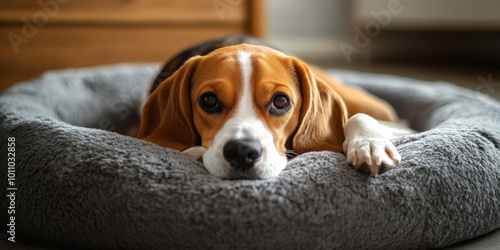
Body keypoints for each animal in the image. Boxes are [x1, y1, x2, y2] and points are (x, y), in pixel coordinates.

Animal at [139, 35, 404, 180]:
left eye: (280, 101)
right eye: (209, 100)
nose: (242, 151)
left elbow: (357, 118)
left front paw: (369, 144)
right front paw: (194, 152)